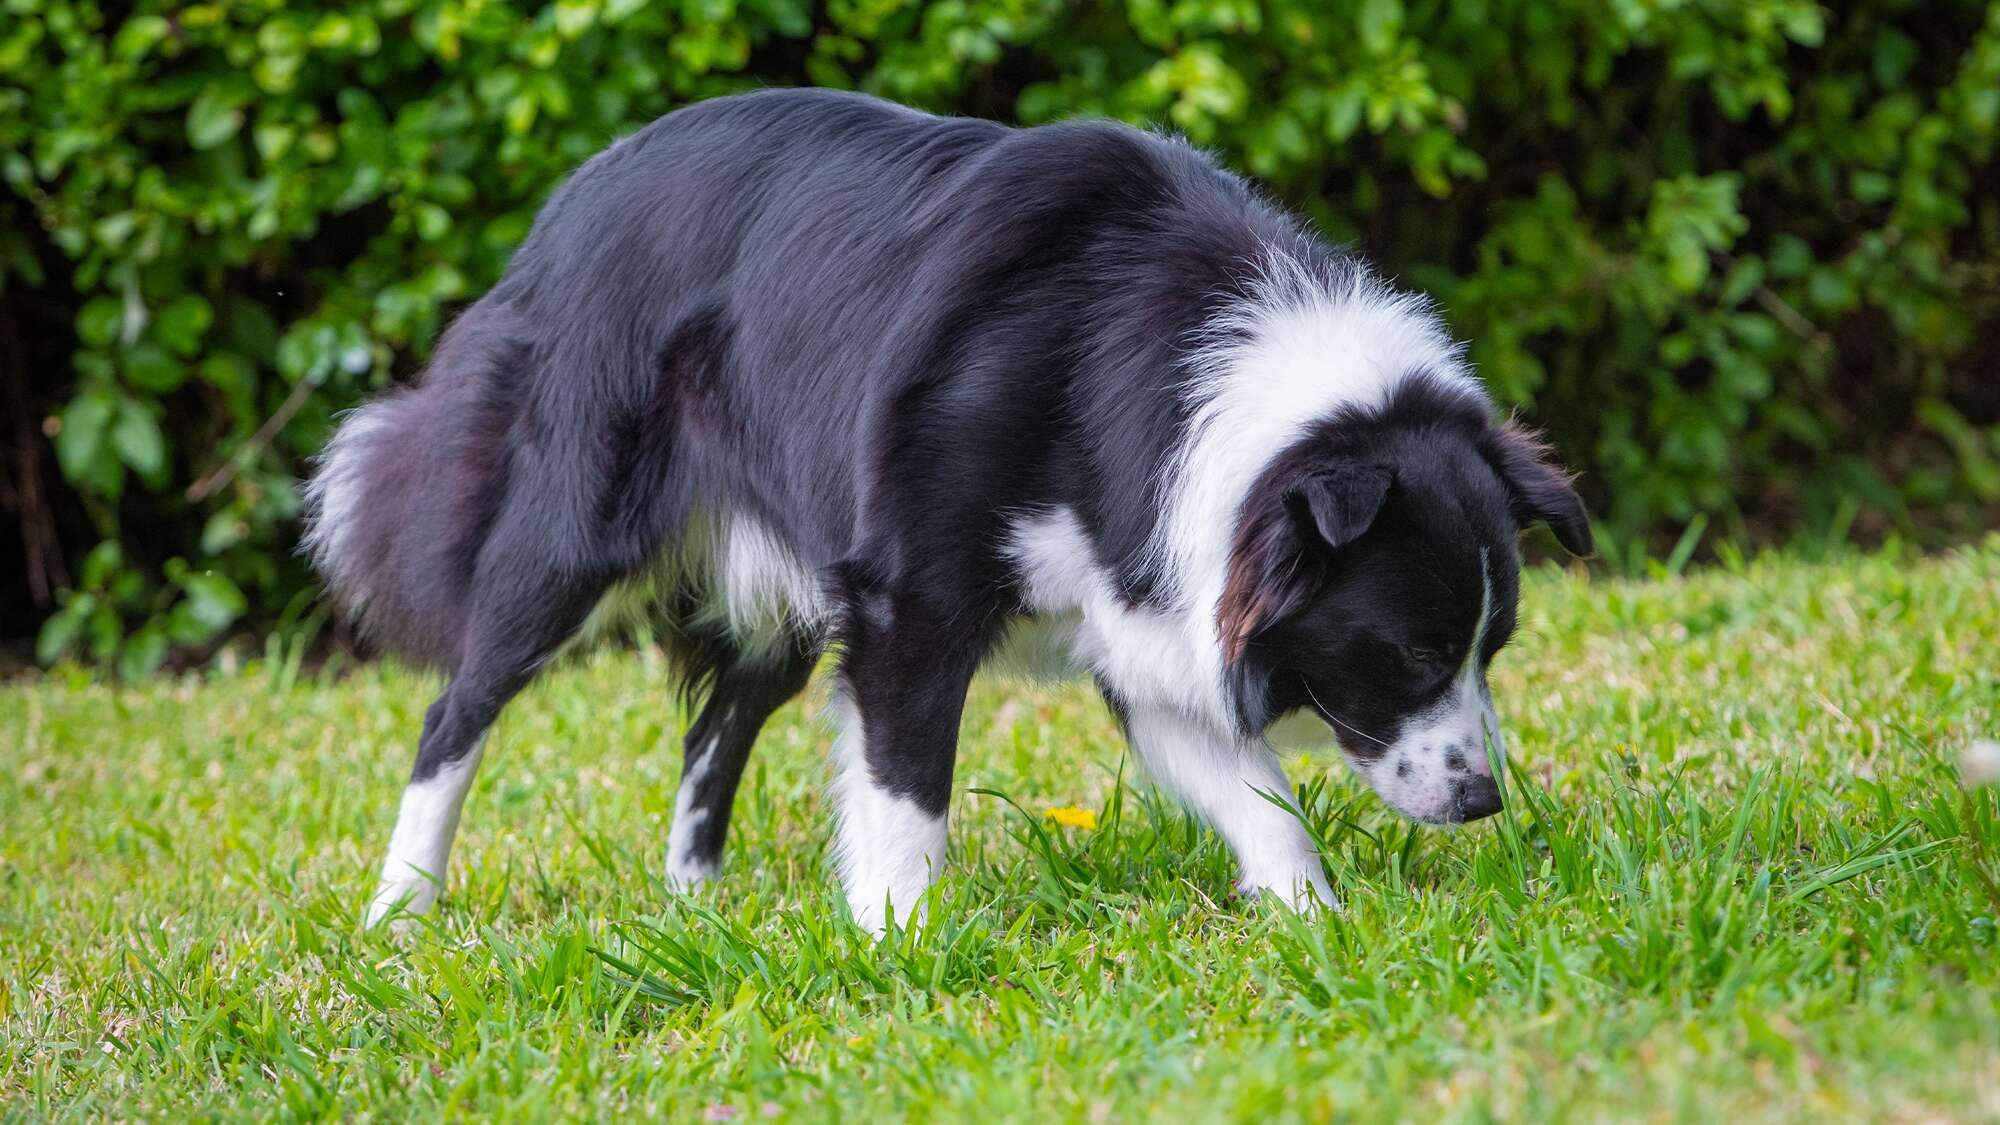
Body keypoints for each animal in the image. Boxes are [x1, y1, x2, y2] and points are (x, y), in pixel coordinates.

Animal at [308, 85, 1592, 928]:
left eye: (1491, 650)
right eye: (1410, 651)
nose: (1481, 799)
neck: (1151, 367)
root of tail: (561, 210)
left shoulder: (1136, 598)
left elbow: (1255, 792)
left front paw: (1312, 920)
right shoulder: (905, 597)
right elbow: (905, 781)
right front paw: (900, 941)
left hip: (781, 579)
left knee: (715, 725)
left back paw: (695, 905)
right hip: (568, 533)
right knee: (459, 708)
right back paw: (399, 912)